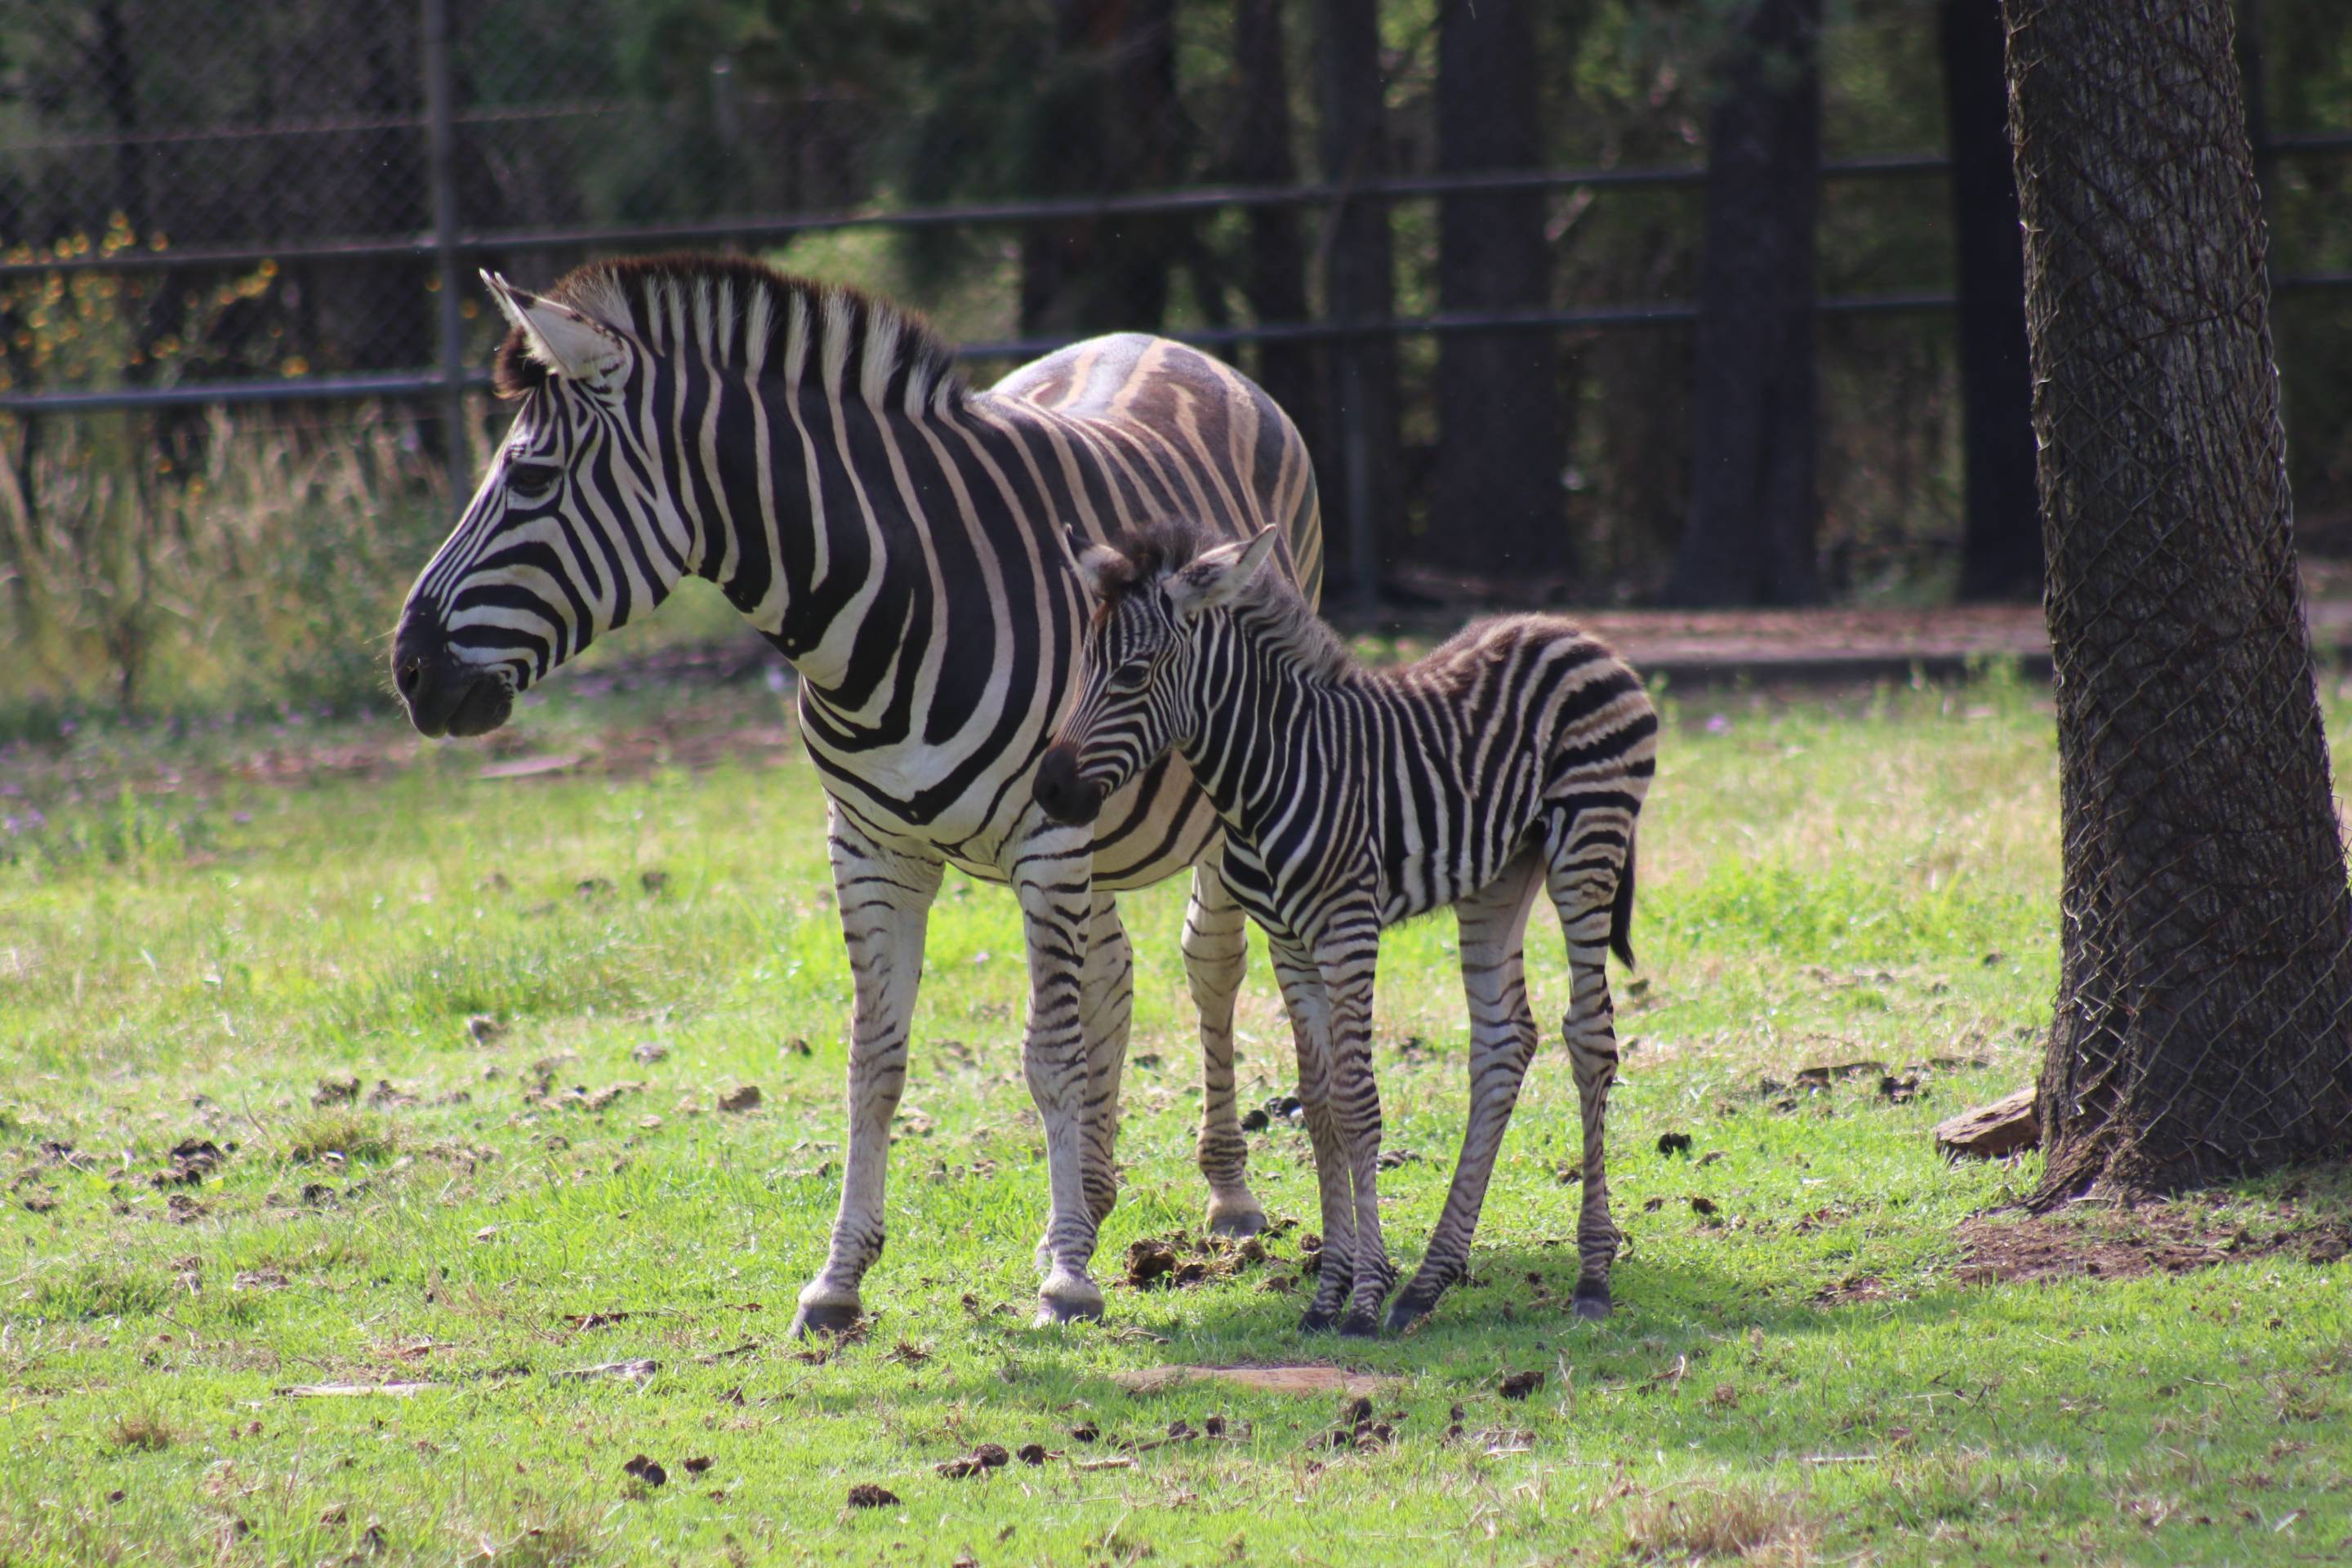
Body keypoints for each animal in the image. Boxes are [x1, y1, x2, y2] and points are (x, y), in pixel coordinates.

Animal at [397, 252, 1335, 1335]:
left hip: (1219, 793)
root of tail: (1162, 341)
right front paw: (841, 1280)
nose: (408, 669)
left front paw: (1066, 1279)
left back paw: (1223, 1197)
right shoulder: (870, 845)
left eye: (530, 479)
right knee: (1113, 970)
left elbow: (1047, 1053)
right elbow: (874, 1061)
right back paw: (1091, 1199)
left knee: (1208, 964)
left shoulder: (1047, 837)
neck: (894, 600)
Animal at [1039, 523, 1665, 1335]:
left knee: (1588, 1037)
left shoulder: (1347, 930)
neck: (1268, 770)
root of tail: (1576, 632)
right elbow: (1320, 1106)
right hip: (1500, 875)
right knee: (1503, 1041)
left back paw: (1591, 1277)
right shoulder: (1289, 944)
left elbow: (1361, 1106)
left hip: (1587, 844)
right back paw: (1428, 1283)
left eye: (1134, 673)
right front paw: (1329, 1293)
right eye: (1085, 665)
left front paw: (1363, 1299)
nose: (1049, 789)